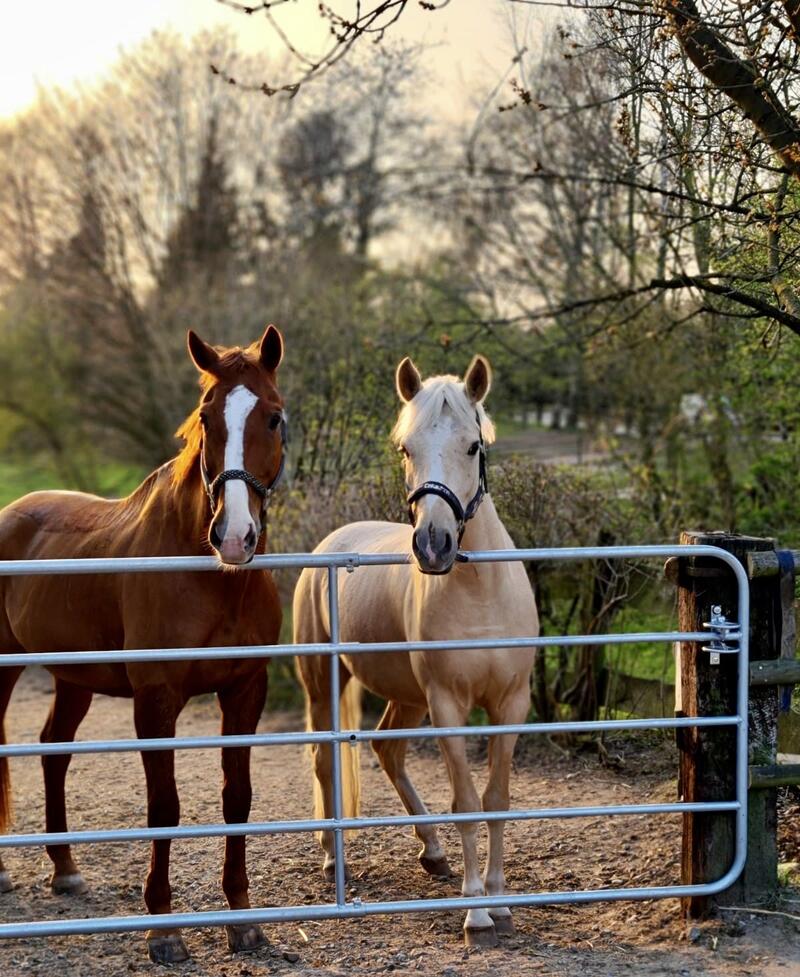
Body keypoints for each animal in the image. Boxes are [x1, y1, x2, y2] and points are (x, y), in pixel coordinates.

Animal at [0, 326, 286, 960]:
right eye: (206, 416)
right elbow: (164, 806)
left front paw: (242, 919)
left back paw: (65, 869)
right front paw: (164, 928)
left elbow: (238, 797)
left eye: (274, 417)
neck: (212, 578)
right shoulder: (156, 700)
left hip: (73, 677)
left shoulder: (246, 691)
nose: (234, 537)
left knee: (54, 748)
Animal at [296, 356, 540, 944]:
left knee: (388, 750)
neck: (480, 594)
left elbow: (496, 801)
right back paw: (332, 855)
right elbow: (467, 802)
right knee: (324, 757)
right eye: (406, 448)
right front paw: (476, 913)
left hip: (406, 696)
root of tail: (332, 541)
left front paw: (500, 901)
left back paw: (432, 852)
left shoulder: (511, 703)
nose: (433, 545)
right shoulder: (448, 705)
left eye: (473, 446)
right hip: (323, 681)